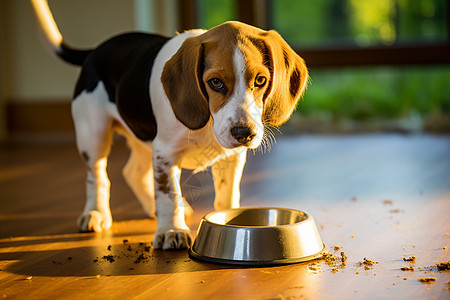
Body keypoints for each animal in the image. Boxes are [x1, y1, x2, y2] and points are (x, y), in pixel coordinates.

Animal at [29, 0, 308, 251]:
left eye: (260, 80)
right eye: (215, 82)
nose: (244, 133)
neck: (206, 123)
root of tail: (95, 51)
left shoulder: (230, 157)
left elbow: (227, 196)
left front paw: (228, 219)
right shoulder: (165, 153)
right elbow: (166, 193)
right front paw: (171, 230)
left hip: (143, 137)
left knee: (132, 172)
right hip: (93, 134)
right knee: (97, 176)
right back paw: (96, 213)